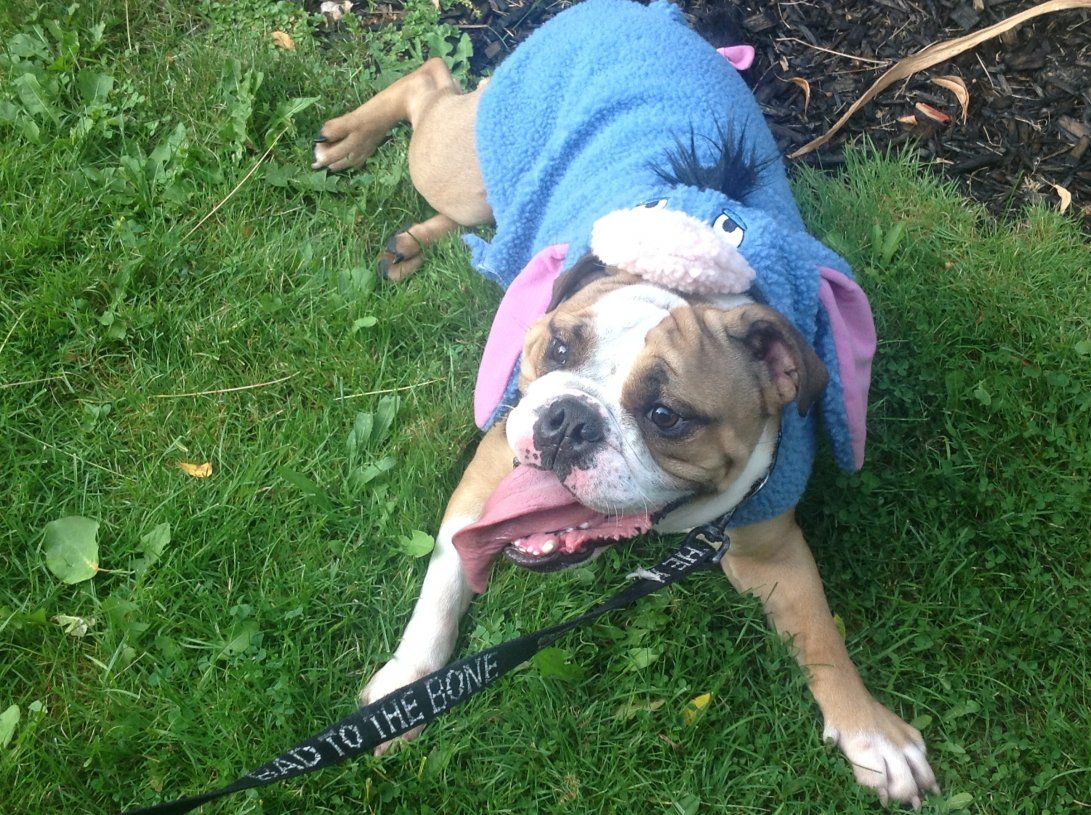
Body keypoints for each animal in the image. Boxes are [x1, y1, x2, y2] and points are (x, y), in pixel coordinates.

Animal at [313, 0, 939, 807]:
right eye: (556, 350)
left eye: (667, 417)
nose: (566, 420)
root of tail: (629, 10)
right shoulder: (488, 472)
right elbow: (443, 585)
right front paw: (406, 685)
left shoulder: (769, 545)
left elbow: (821, 632)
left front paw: (872, 732)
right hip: (460, 166)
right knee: (427, 85)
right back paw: (350, 139)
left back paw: (409, 244)